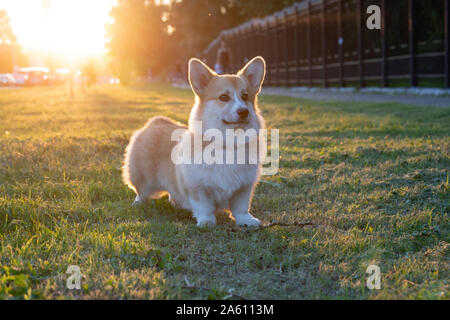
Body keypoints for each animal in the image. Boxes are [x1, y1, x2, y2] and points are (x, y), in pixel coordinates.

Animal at [121, 56, 266, 226]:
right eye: (223, 97)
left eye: (245, 96)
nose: (244, 111)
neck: (227, 144)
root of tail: (156, 122)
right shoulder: (198, 188)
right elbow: (204, 206)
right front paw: (207, 222)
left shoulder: (244, 187)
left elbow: (241, 207)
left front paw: (246, 220)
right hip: (142, 177)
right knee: (141, 191)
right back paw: (138, 203)